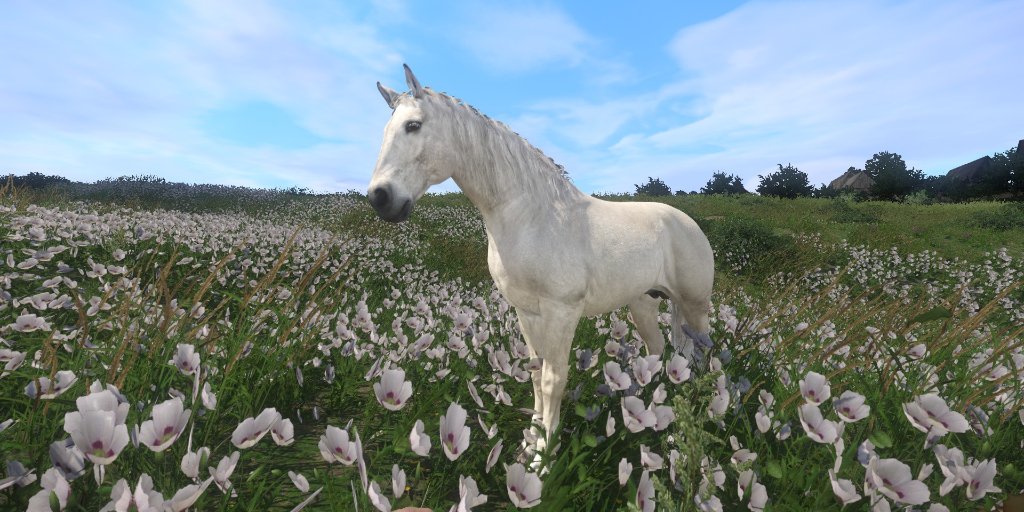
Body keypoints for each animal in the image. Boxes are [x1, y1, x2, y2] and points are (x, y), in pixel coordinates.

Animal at [368, 64, 715, 462]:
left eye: (413, 125)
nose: (380, 198)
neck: (532, 217)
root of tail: (686, 222)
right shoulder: (527, 312)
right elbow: (535, 374)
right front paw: (531, 443)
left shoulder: (561, 311)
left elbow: (553, 378)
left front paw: (543, 458)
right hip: (644, 304)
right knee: (658, 351)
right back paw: (648, 407)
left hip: (695, 306)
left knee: (701, 353)